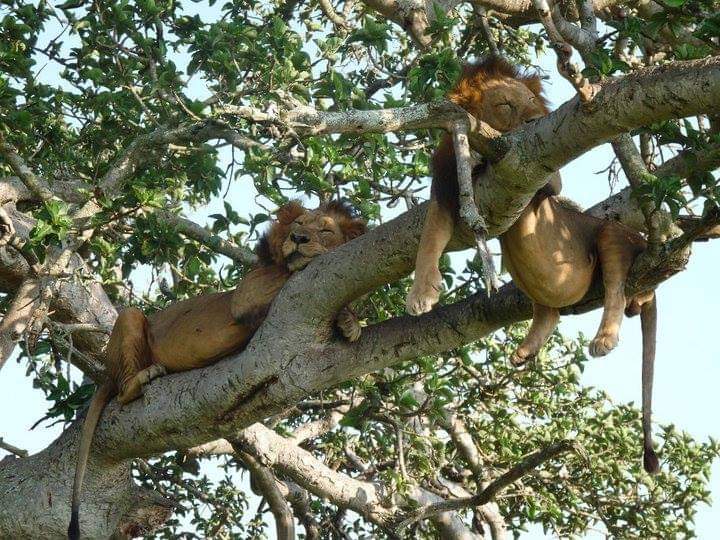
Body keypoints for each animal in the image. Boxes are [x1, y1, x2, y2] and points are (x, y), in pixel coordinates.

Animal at [69, 199, 366, 540]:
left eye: (326, 230)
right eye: (298, 224)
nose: (299, 238)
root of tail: (107, 372)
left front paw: (350, 323)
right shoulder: (247, 295)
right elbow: (290, 277)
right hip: (131, 319)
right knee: (123, 388)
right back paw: (143, 377)